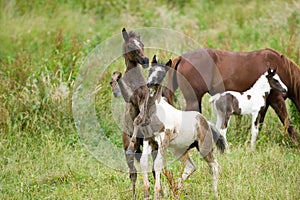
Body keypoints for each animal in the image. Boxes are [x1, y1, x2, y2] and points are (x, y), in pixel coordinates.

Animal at [165, 47, 300, 146]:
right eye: (276, 80)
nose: (285, 89)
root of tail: (181, 58)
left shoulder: (263, 105)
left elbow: (258, 125)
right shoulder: (277, 100)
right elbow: (288, 123)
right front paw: (297, 145)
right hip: (193, 100)